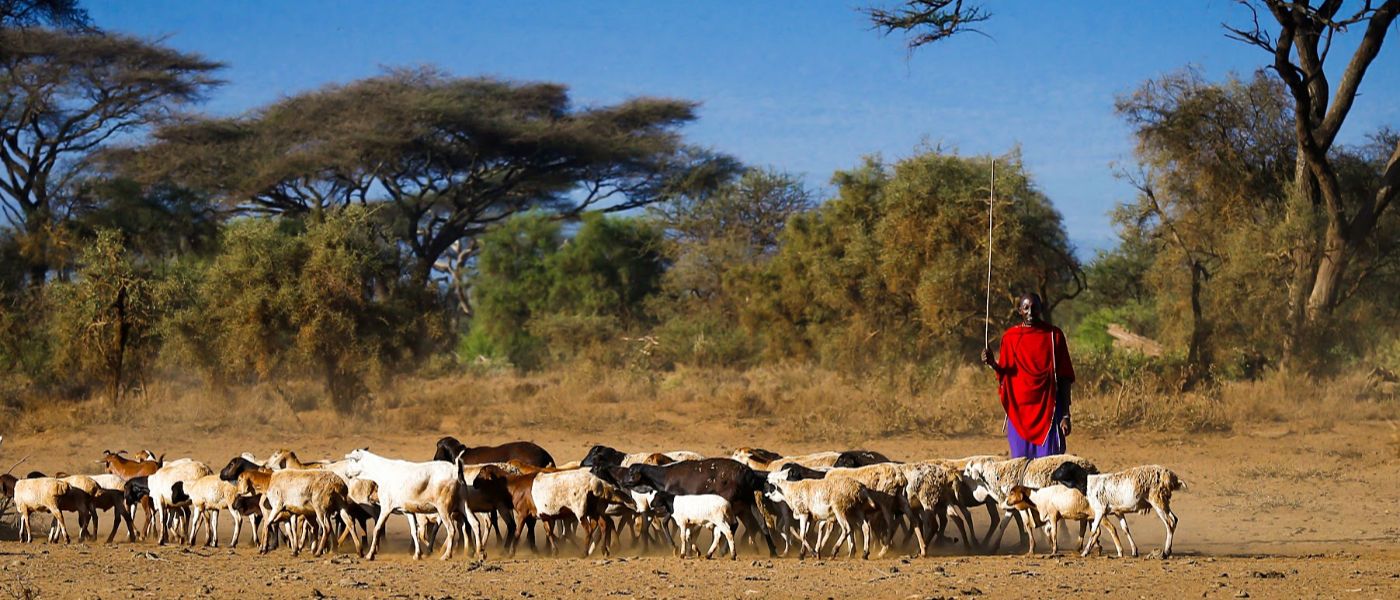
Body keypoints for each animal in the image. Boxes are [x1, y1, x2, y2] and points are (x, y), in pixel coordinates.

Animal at [1052, 464, 1187, 556]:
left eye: (1063, 468)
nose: (1052, 474)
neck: (1088, 484)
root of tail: (1171, 477)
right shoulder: (1118, 511)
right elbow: (1125, 529)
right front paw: (1134, 551)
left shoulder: (1100, 510)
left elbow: (1094, 531)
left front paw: (1085, 552)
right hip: (1164, 501)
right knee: (1175, 519)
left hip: (1157, 500)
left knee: (1169, 522)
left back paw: (1166, 551)